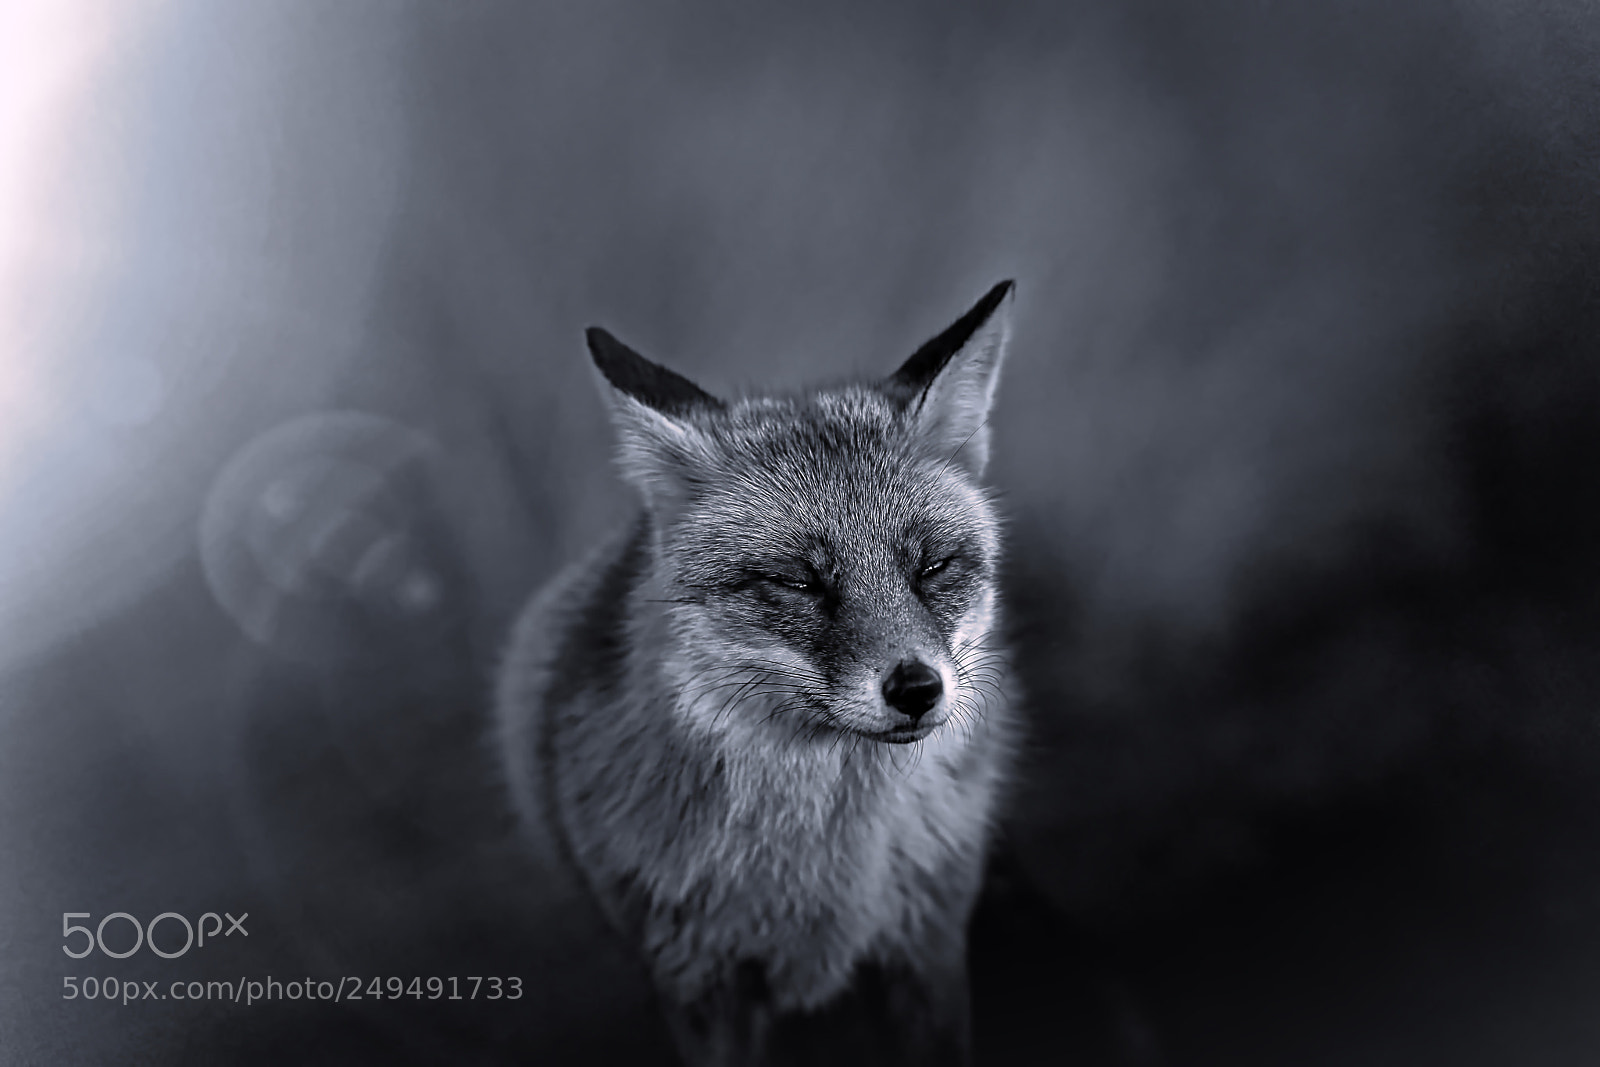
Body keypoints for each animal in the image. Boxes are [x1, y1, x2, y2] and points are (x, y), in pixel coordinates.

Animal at [494, 281, 1019, 1066]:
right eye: (799, 582)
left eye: (932, 567)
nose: (918, 689)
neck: (823, 871)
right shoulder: (695, 973)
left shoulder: (926, 947)